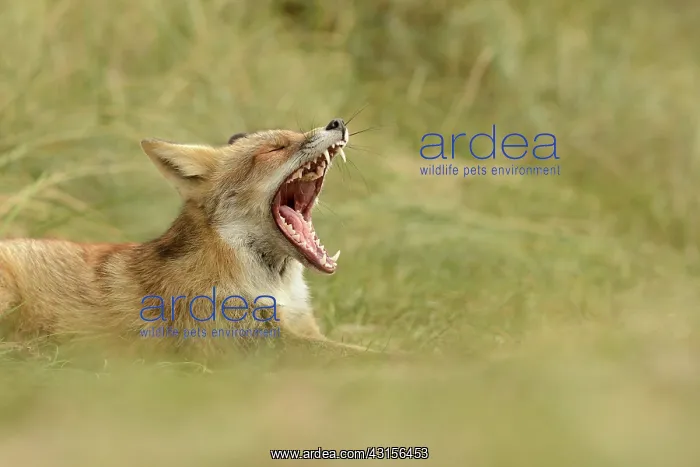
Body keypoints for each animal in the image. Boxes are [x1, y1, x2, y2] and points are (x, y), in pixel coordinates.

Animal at [0, 118, 375, 356]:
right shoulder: (247, 344)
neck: (274, 286)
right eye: (275, 149)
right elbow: (368, 357)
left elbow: (364, 343)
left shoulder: (300, 328)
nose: (336, 122)